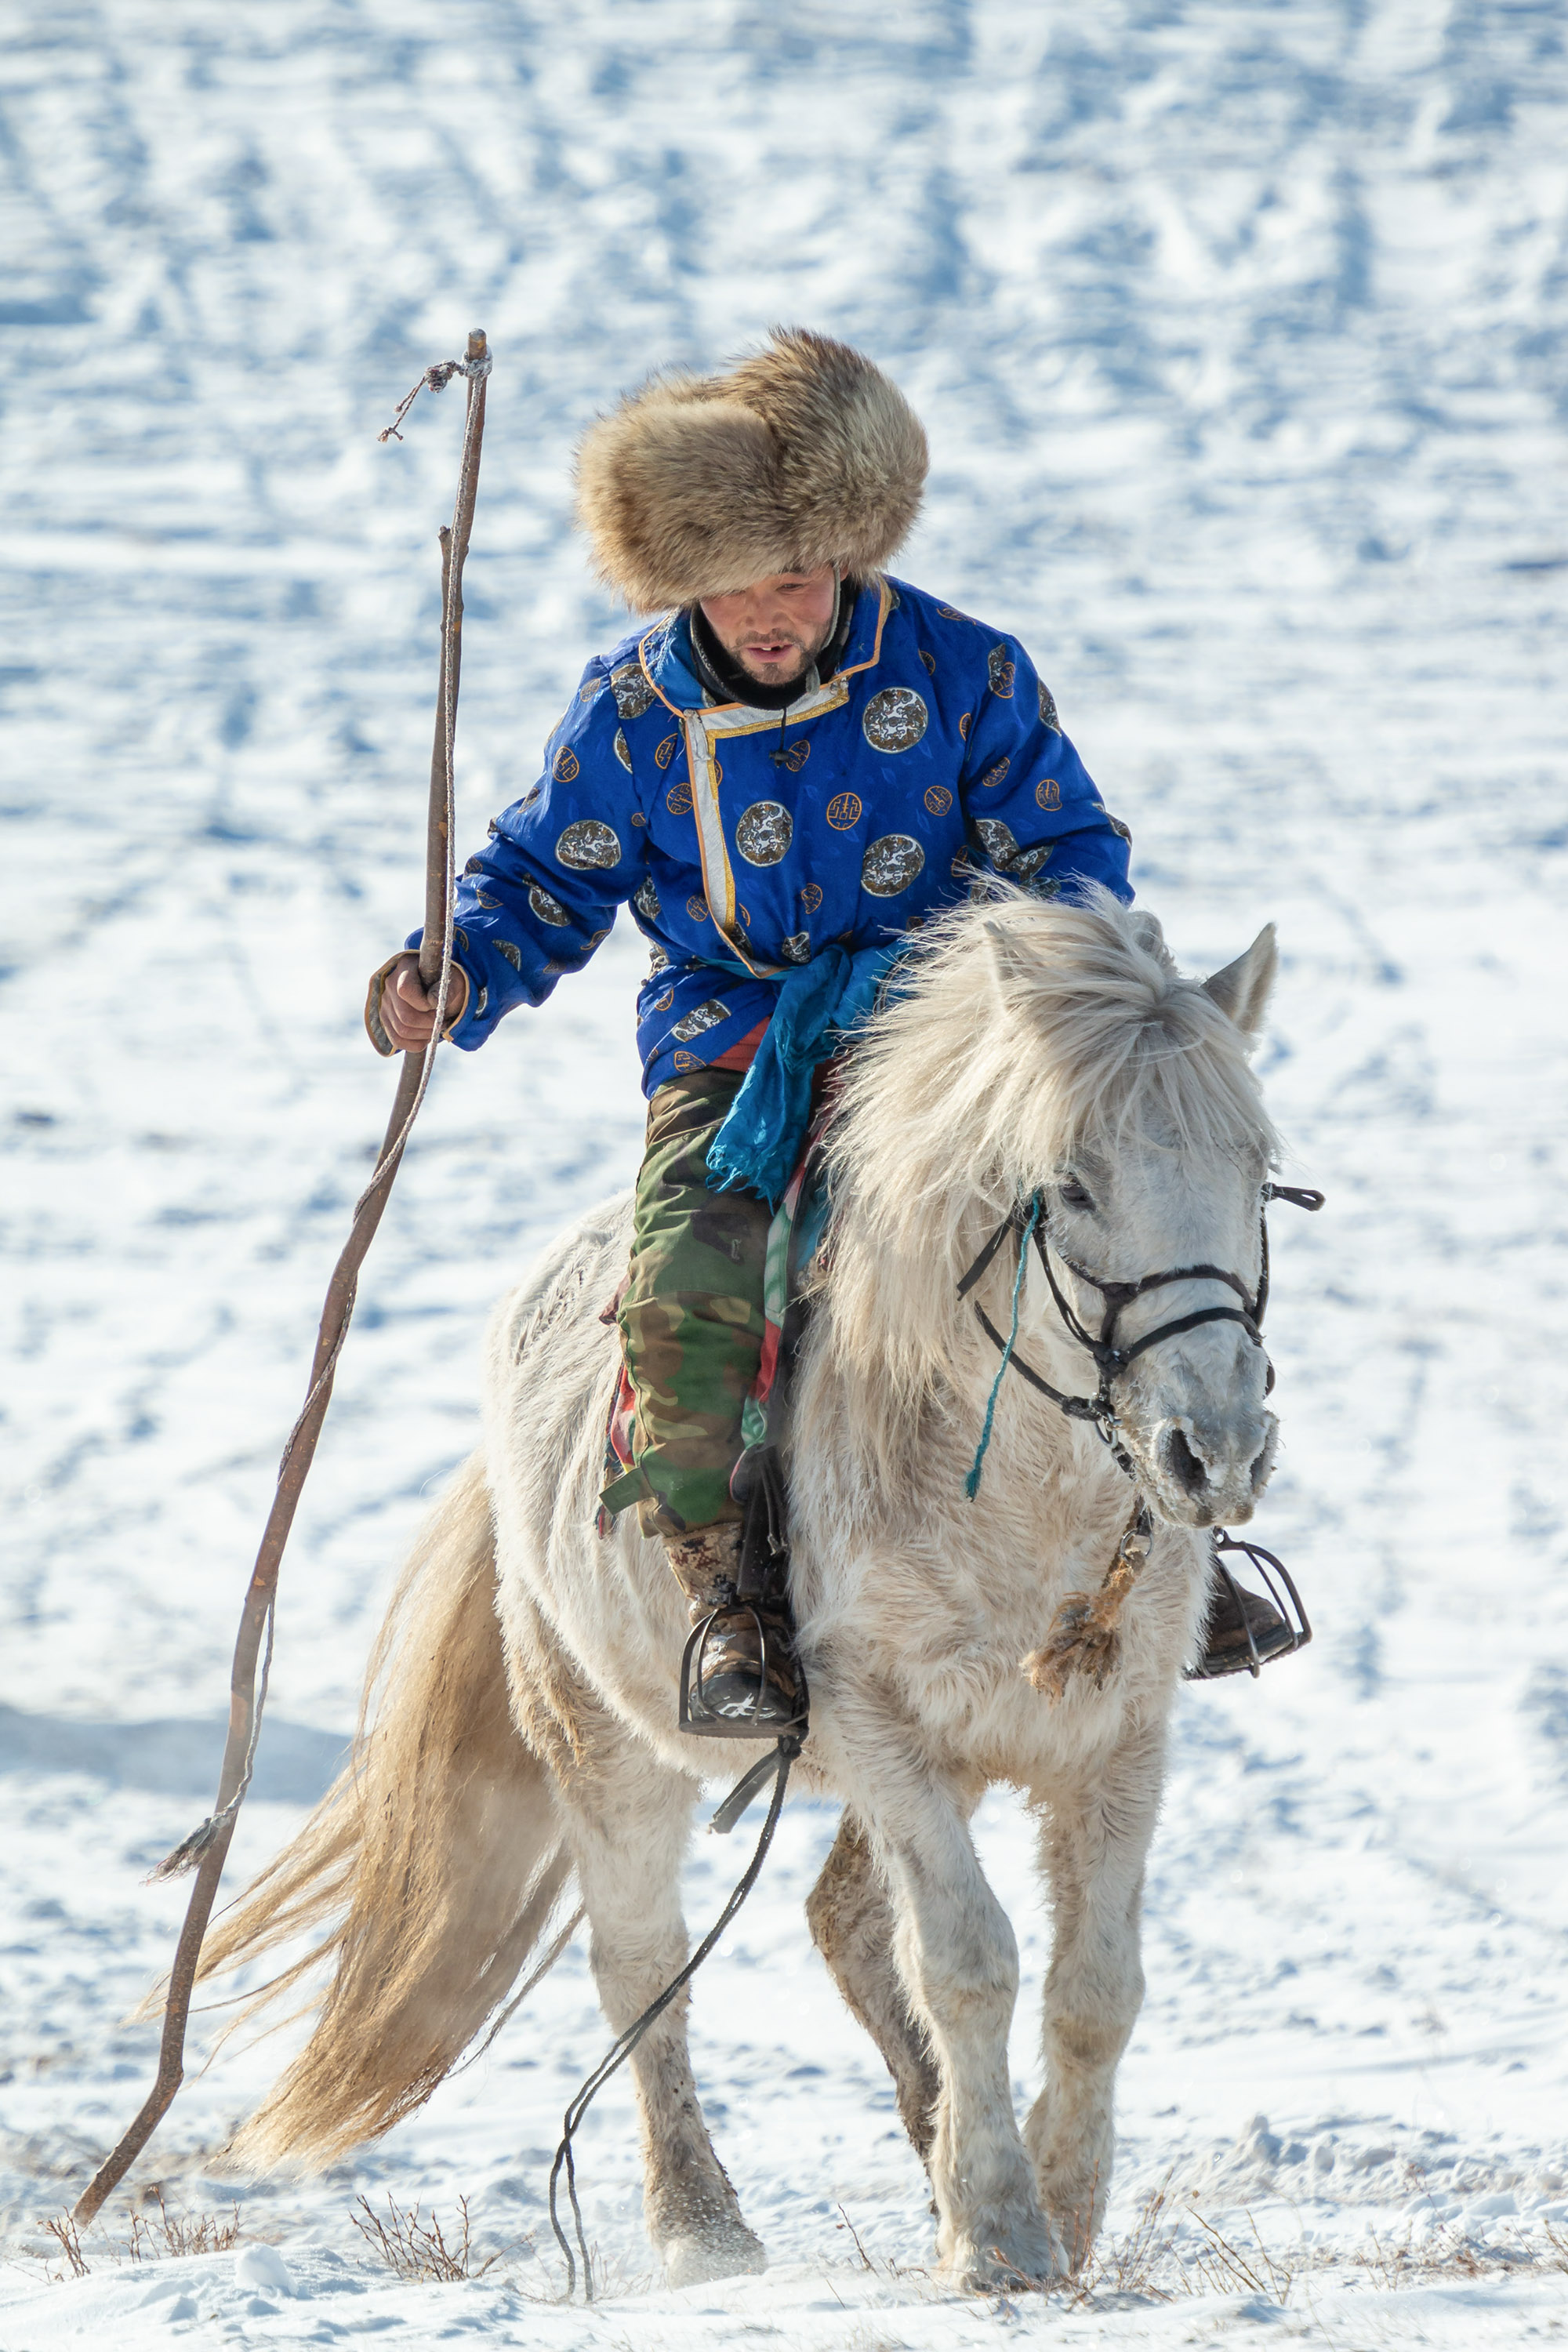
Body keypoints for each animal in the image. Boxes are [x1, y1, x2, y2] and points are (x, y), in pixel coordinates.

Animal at [201, 880, 1288, 2277]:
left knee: (840, 1921)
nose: (1216, 1449)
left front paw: (1061, 2211)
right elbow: (969, 1960)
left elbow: (1097, 1989)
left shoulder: (1118, 1736)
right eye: (1074, 1184)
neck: (1021, 1495)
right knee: (641, 1963)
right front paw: (999, 2234)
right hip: (604, 1745)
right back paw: (701, 2225)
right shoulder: (871, 1717)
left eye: (1254, 1173)